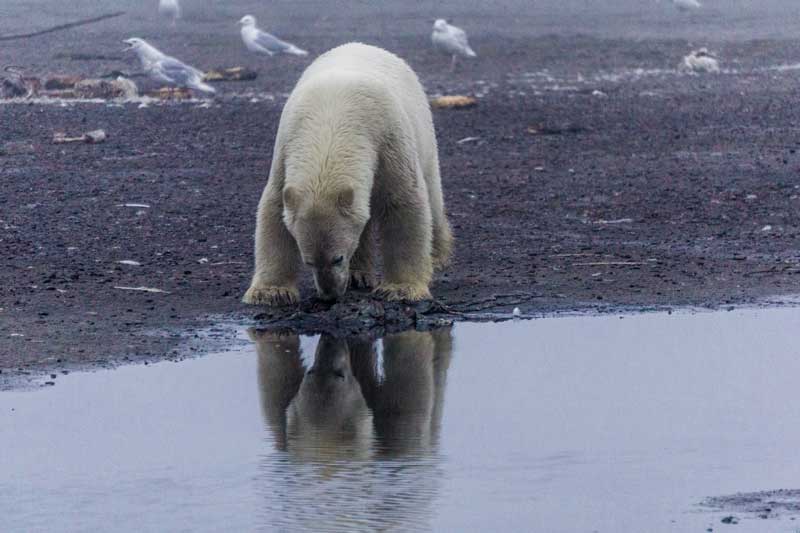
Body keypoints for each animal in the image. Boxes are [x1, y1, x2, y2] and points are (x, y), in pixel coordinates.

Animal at [241, 43, 454, 306]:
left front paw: (400, 289)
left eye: (338, 258)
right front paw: (270, 292)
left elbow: (402, 202)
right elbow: (273, 210)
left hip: (422, 131)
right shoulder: (286, 148)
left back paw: (437, 256)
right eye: (308, 261)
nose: (329, 295)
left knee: (432, 194)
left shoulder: (386, 140)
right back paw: (358, 275)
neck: (332, 119)